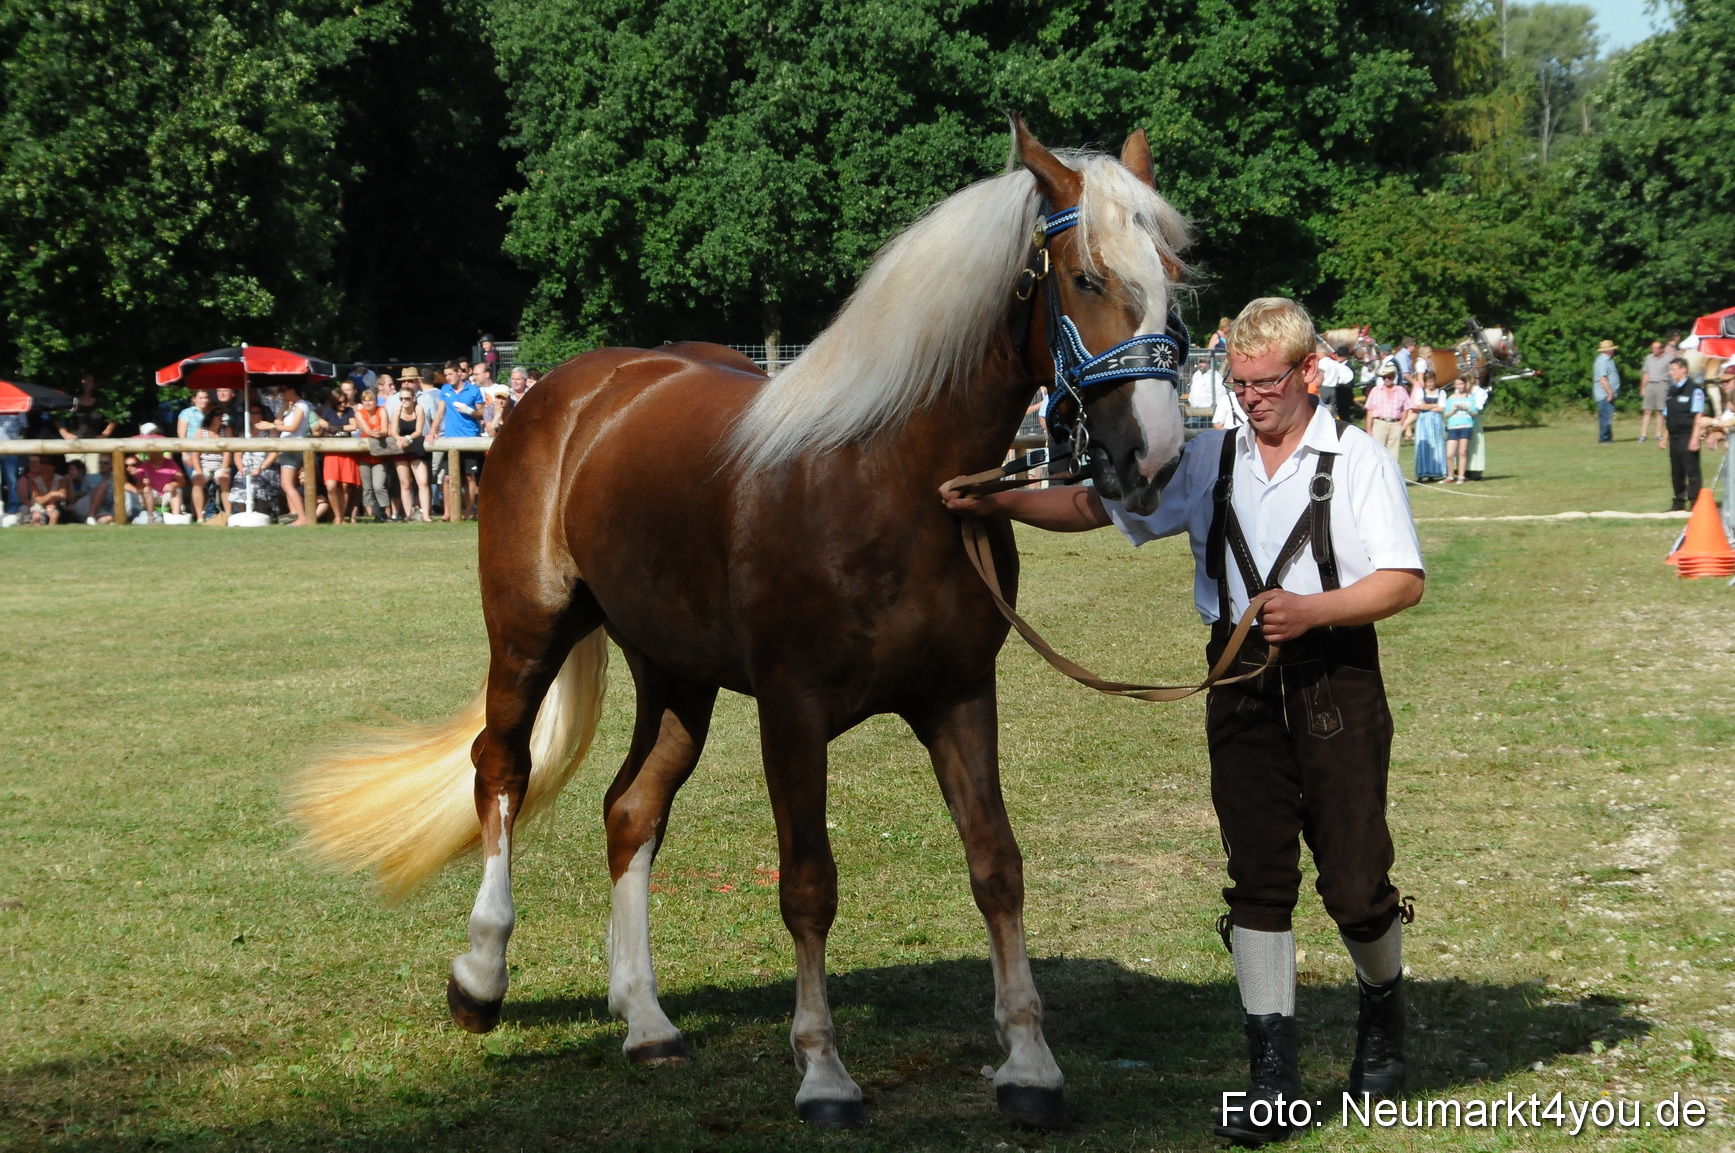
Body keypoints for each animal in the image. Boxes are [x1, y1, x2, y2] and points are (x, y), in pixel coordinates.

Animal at [290, 119, 1193, 1131]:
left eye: (1171, 274)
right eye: (1085, 278)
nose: (1153, 454)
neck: (889, 477)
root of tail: (571, 391)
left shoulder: (959, 696)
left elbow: (995, 863)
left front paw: (1029, 1065)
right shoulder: (791, 712)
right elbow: (807, 884)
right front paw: (823, 1072)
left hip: (675, 675)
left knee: (630, 808)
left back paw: (645, 1020)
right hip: (527, 632)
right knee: (501, 769)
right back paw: (480, 977)